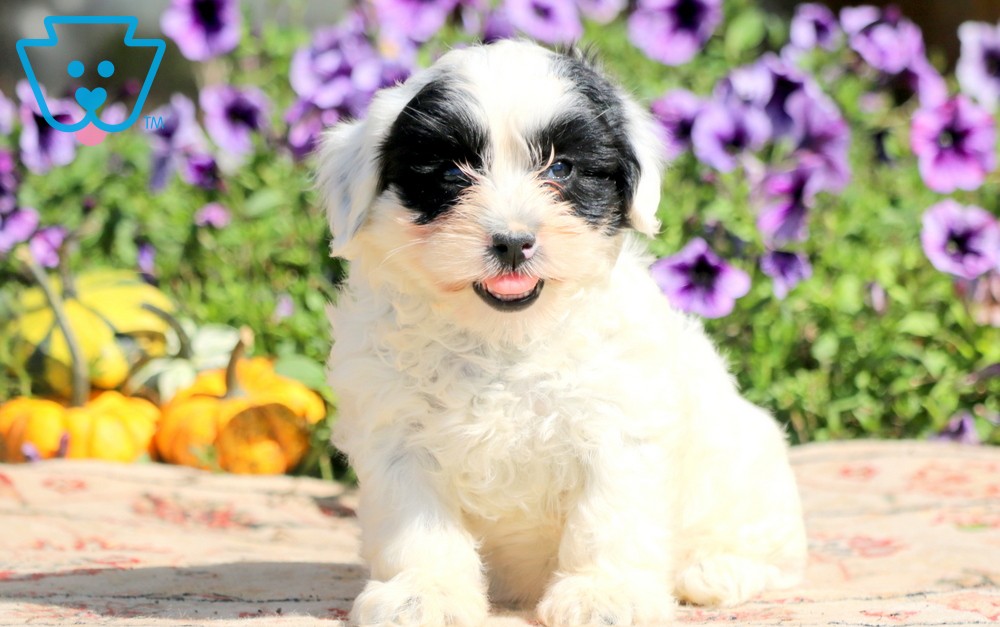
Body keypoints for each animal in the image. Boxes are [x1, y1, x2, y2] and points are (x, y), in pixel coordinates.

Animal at [324, 40, 808, 627]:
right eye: (452, 171)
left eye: (561, 167)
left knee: (771, 552)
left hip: (750, 473)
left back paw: (716, 570)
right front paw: (422, 594)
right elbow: (417, 527)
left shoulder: (619, 428)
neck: (502, 338)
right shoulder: (396, 436)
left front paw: (605, 595)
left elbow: (607, 520)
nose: (513, 242)